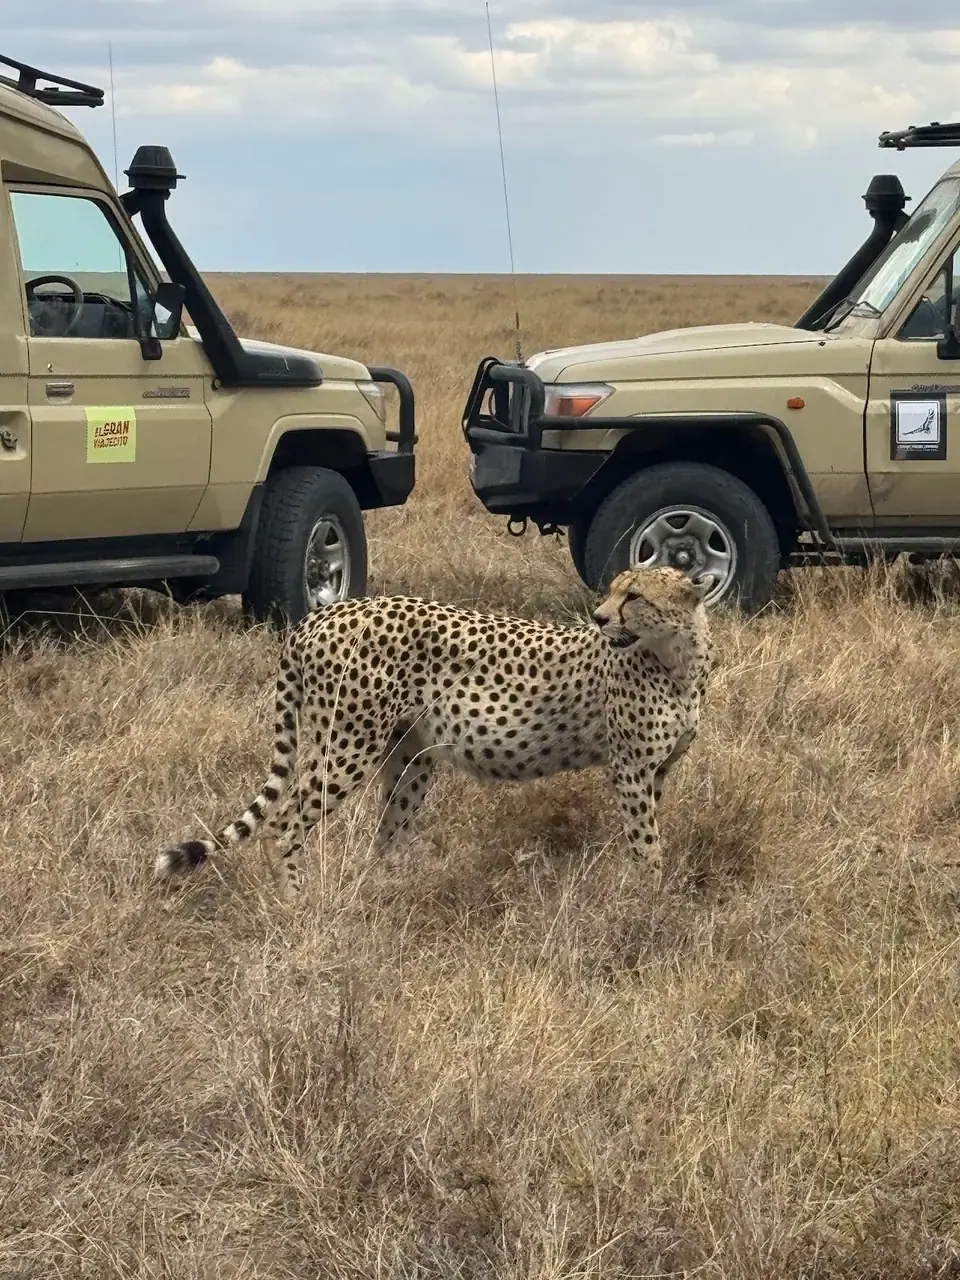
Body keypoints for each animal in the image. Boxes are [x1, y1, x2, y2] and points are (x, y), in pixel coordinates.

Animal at [155, 564, 715, 901]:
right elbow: (646, 841)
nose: (598, 617)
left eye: (634, 594)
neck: (678, 661)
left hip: (411, 755)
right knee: (287, 820)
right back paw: (297, 900)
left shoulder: (656, 772)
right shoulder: (631, 769)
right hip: (349, 743)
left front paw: (647, 894)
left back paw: (389, 895)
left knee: (387, 833)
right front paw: (647, 900)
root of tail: (320, 614)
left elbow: (647, 834)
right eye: (615, 590)